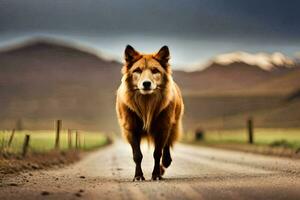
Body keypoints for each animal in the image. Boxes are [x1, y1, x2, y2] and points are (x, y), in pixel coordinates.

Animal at [116, 45, 184, 181]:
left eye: (155, 71)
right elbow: (137, 155)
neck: (146, 104)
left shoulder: (163, 128)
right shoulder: (130, 129)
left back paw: (165, 164)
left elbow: (157, 153)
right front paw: (138, 176)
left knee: (167, 147)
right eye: (137, 70)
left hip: (172, 125)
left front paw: (156, 174)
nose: (146, 83)